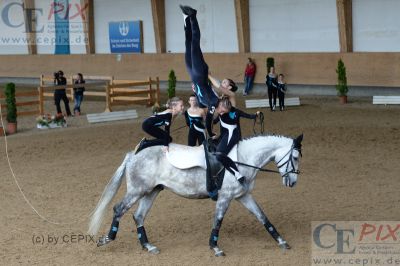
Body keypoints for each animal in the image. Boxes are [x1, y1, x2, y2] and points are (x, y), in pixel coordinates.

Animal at [87, 134, 302, 256]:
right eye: (296, 157)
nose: (293, 182)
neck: (241, 160)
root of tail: (133, 154)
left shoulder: (243, 195)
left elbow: (262, 217)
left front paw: (282, 241)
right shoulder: (225, 197)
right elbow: (218, 221)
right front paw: (215, 247)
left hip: (151, 191)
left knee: (138, 216)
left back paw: (148, 246)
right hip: (137, 190)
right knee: (119, 209)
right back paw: (107, 239)